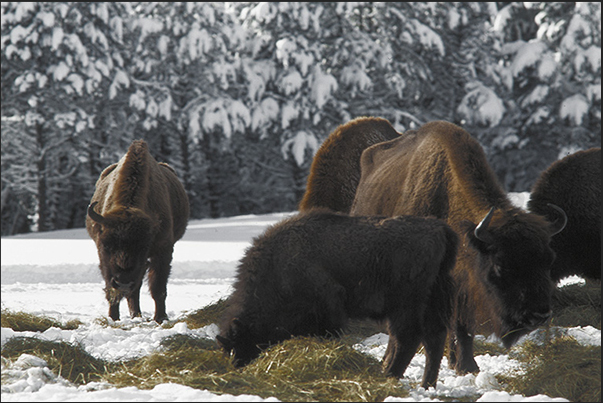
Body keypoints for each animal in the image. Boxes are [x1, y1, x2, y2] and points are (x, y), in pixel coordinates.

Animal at [85, 140, 189, 324]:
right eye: (107, 245)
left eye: (143, 245)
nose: (124, 283)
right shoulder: (103, 256)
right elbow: (112, 289)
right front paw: (113, 317)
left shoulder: (162, 251)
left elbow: (158, 287)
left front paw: (160, 318)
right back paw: (134, 315)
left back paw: (138, 315)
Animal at [217, 210, 458, 390]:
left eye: (238, 343)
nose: (238, 367)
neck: (277, 267)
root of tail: (439, 229)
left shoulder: (329, 307)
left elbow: (330, 334)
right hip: (430, 302)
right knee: (433, 339)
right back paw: (424, 384)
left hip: (404, 305)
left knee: (408, 338)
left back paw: (389, 376)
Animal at [300, 118, 568, 378]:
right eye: (500, 266)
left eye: (548, 260)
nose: (538, 315)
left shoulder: (461, 284)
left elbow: (461, 326)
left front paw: (466, 366)